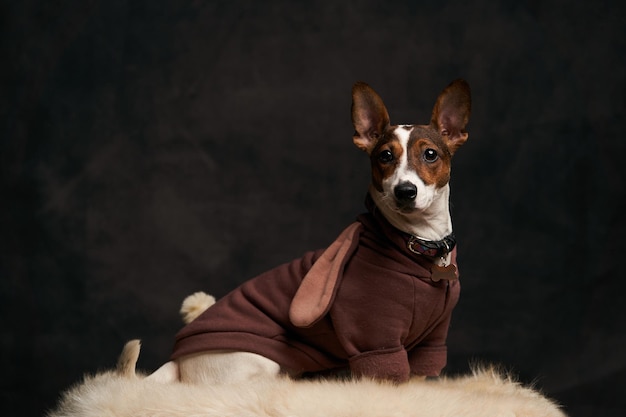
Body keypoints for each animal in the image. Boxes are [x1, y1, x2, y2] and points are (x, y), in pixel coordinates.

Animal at [147, 78, 468, 384]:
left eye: (430, 154)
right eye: (385, 156)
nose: (405, 191)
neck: (421, 244)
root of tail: (178, 362)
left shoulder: (432, 341)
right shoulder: (376, 339)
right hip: (258, 364)